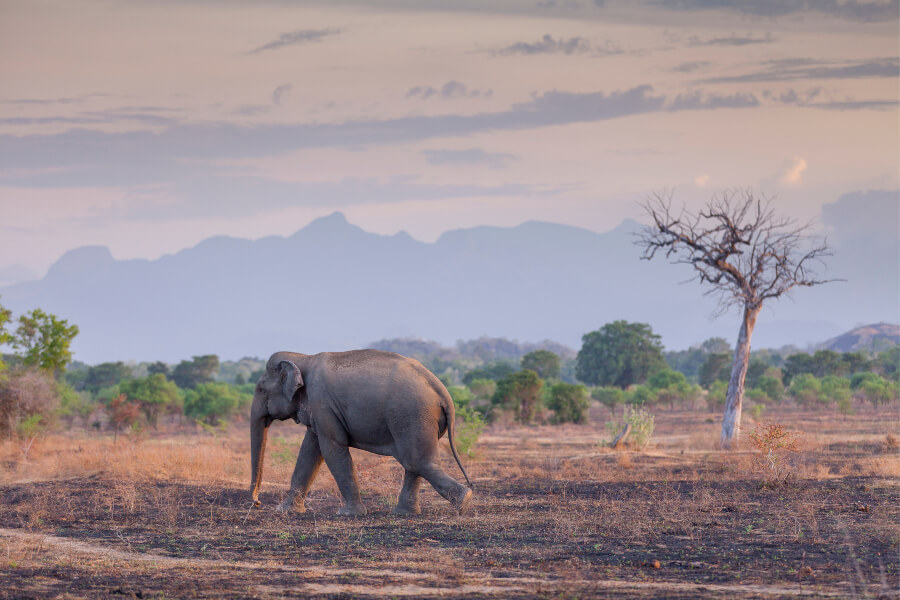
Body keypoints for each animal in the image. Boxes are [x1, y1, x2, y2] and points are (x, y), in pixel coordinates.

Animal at [250, 349, 473, 516]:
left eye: (260, 389)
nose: (257, 503)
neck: (304, 357)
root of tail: (442, 392)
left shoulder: (322, 403)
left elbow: (332, 448)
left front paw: (349, 514)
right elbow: (310, 450)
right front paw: (285, 511)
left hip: (413, 415)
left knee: (416, 461)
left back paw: (464, 501)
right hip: (418, 419)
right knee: (415, 463)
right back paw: (406, 513)